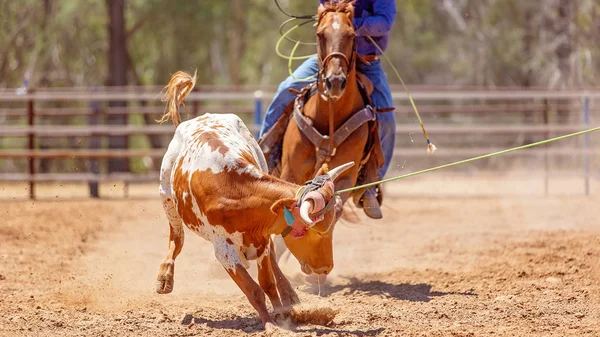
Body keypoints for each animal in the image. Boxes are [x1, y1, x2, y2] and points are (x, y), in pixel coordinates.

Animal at [155, 71, 354, 328]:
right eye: (311, 230)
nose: (326, 267)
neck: (235, 191)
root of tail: (193, 120)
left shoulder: (261, 240)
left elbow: (267, 282)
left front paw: (282, 313)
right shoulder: (224, 252)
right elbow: (253, 289)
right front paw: (270, 324)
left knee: (275, 263)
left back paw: (290, 296)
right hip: (166, 196)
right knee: (176, 238)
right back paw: (164, 277)